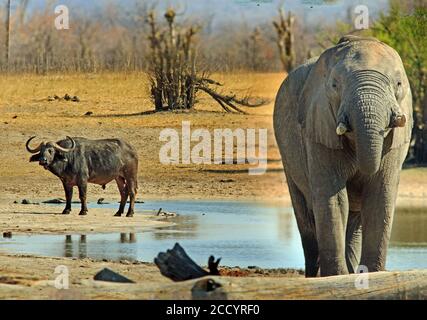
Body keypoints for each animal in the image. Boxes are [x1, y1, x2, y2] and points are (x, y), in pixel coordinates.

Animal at [276, 33, 412, 276]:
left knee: (354, 220)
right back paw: (315, 276)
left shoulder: (395, 141)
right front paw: (335, 277)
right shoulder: (318, 125)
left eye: (398, 84)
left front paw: (372, 275)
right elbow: (335, 200)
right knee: (306, 219)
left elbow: (379, 197)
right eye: (334, 85)